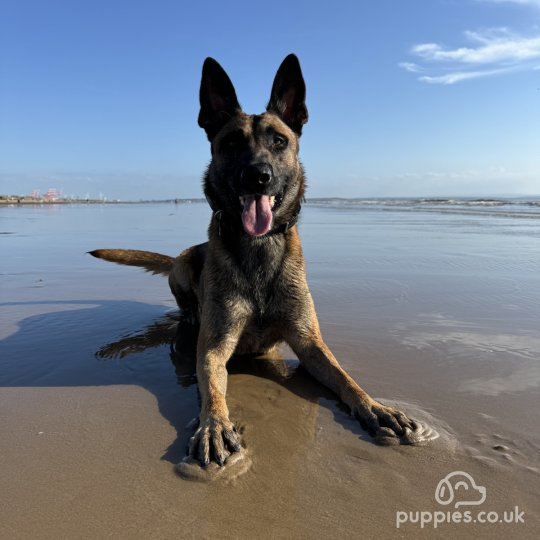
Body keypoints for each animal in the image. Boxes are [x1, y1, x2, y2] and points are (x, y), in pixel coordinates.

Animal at [90, 56, 436, 468]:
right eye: (231, 143)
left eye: (279, 141)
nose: (258, 176)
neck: (258, 248)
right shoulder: (213, 348)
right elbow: (212, 387)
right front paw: (213, 426)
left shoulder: (309, 343)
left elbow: (345, 378)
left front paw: (376, 408)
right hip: (183, 265)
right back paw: (189, 315)